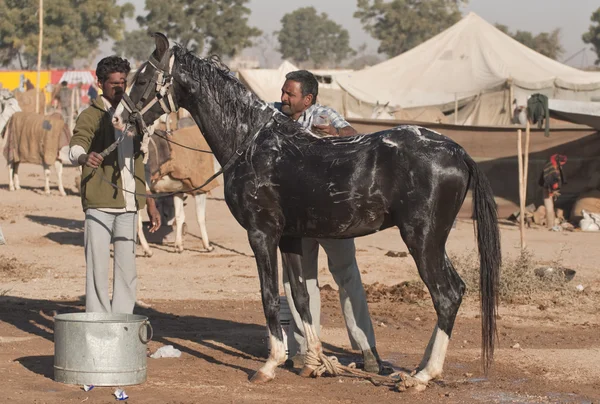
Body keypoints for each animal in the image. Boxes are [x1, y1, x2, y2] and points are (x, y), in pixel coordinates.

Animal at [115, 34, 500, 388]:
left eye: (144, 78)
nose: (119, 118)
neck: (252, 145)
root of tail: (456, 151)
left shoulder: (261, 235)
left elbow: (269, 296)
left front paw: (270, 364)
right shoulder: (290, 238)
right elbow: (301, 297)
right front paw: (315, 361)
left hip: (422, 239)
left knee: (445, 295)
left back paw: (422, 375)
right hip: (434, 241)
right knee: (455, 291)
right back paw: (417, 368)